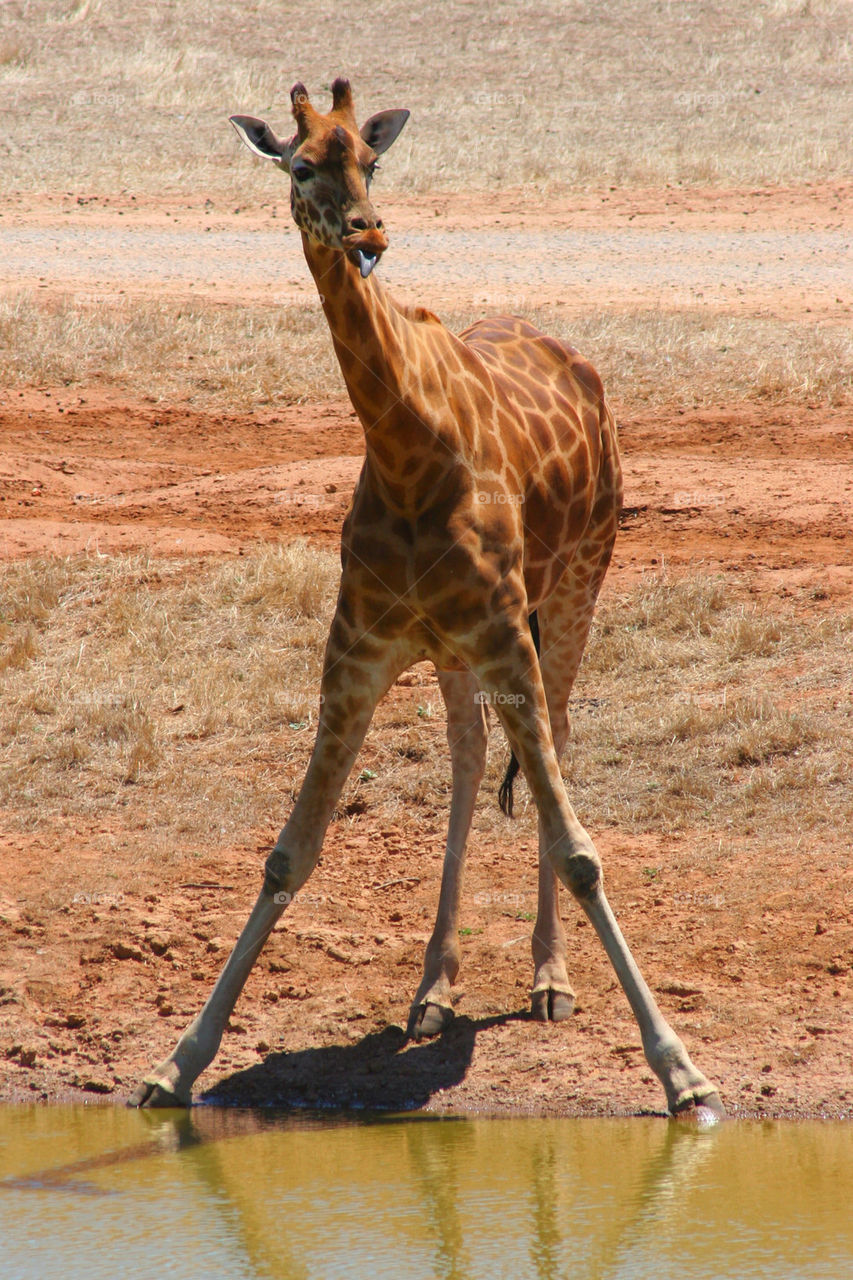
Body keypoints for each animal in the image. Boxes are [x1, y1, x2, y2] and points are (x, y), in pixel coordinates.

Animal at [130, 78, 724, 1120]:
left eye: (372, 161)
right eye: (299, 166)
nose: (367, 231)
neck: (407, 450)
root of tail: (578, 359)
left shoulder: (504, 635)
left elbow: (578, 848)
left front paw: (681, 1072)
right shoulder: (361, 648)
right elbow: (288, 851)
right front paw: (177, 1063)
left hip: (578, 582)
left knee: (556, 739)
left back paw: (548, 981)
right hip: (456, 649)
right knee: (467, 754)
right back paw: (433, 991)